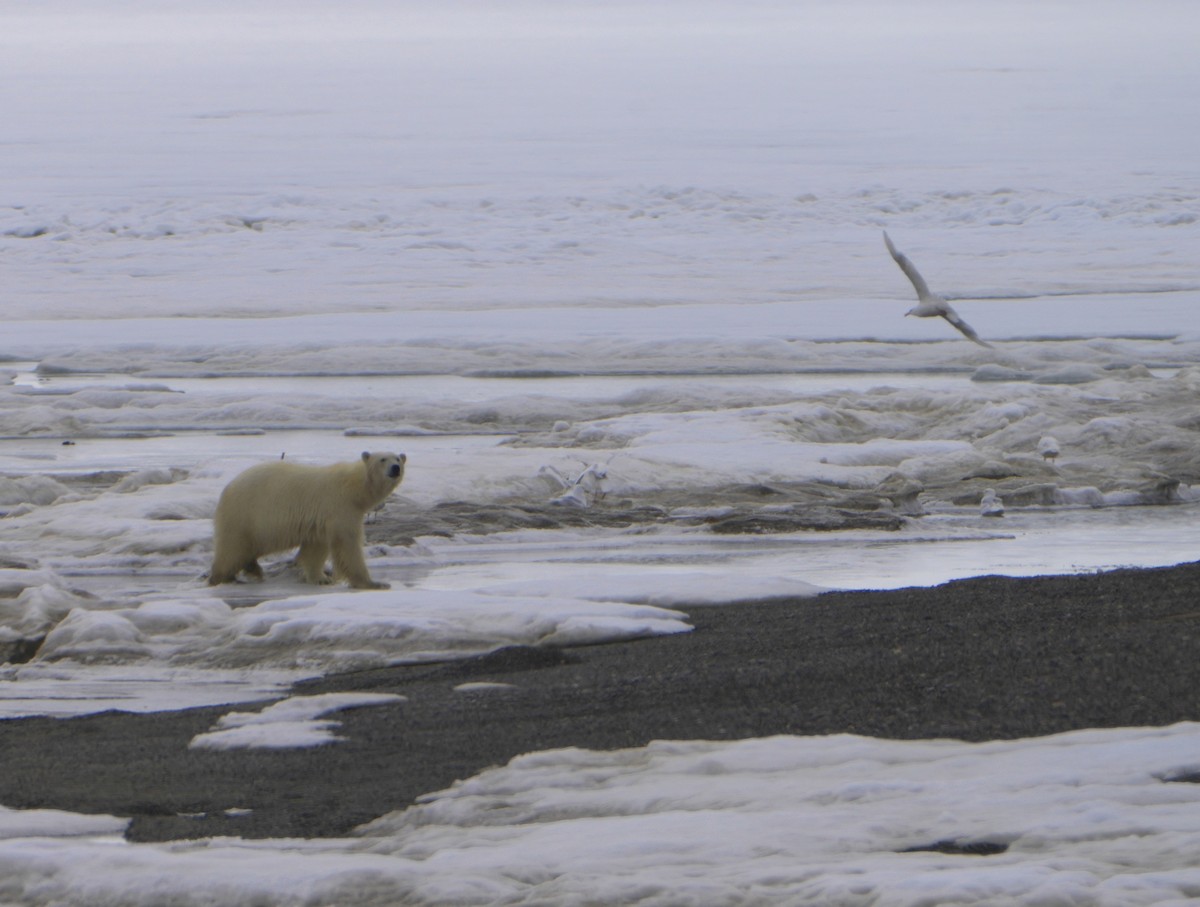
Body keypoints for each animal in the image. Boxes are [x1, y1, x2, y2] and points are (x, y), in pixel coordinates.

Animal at [206, 451, 408, 592]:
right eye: (383, 459)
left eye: (398, 459)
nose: (395, 468)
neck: (353, 487)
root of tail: (228, 488)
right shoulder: (339, 507)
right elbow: (347, 545)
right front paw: (374, 583)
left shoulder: (320, 520)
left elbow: (315, 548)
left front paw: (321, 578)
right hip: (246, 513)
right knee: (232, 548)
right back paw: (223, 578)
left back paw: (253, 569)